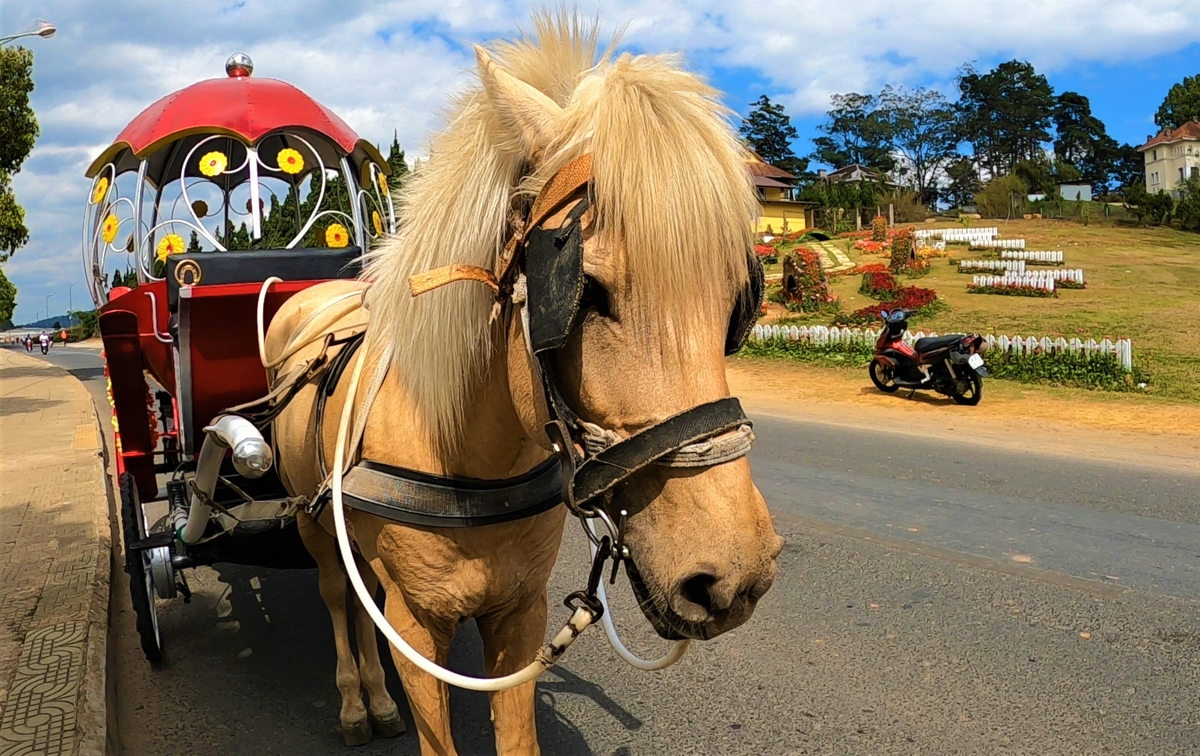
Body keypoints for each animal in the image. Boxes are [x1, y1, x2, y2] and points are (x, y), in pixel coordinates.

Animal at [266, 13, 782, 756]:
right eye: (583, 291)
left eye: (738, 298)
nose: (734, 575)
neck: (468, 463)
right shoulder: (416, 627)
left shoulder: (522, 614)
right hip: (312, 518)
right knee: (339, 596)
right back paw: (357, 700)